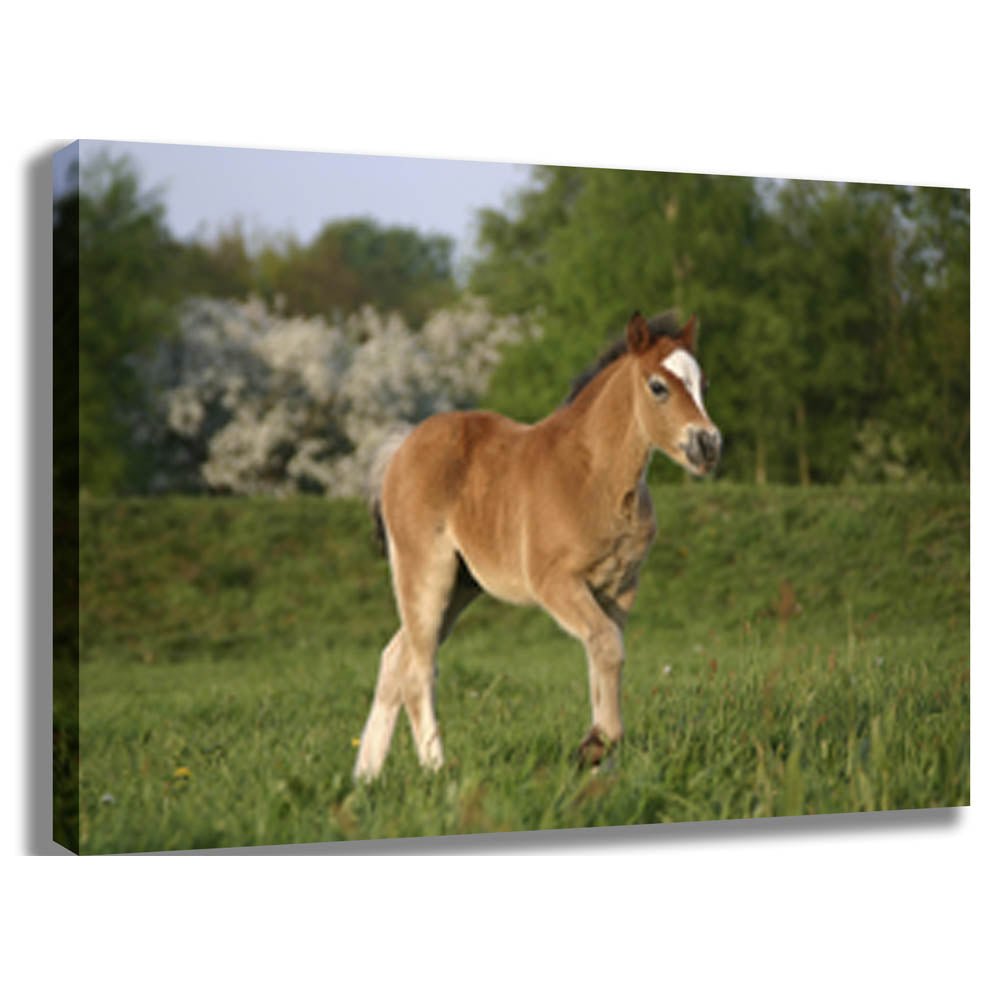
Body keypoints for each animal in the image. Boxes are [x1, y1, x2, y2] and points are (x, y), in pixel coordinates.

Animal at [353, 309, 722, 780]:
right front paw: (597, 746)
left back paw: (366, 775)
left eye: (703, 384)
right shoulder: (556, 583)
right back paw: (437, 768)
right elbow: (606, 646)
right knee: (419, 669)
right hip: (425, 573)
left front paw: (600, 758)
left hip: (461, 586)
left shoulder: (620, 589)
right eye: (658, 386)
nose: (707, 444)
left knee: (395, 658)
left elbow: (605, 658)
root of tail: (402, 447)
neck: (594, 476)